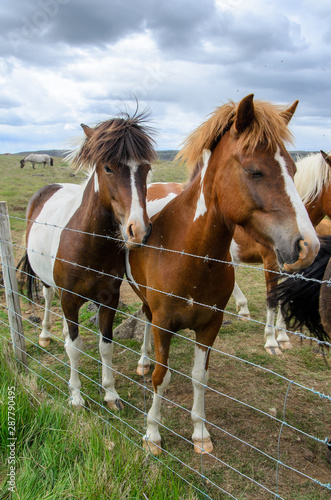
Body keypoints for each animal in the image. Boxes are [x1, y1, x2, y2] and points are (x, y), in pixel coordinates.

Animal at [17, 110, 158, 410]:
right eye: (108, 168)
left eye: (145, 168)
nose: (139, 230)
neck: (89, 245)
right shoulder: (70, 299)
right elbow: (75, 347)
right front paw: (76, 396)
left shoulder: (109, 299)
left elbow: (105, 346)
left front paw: (111, 394)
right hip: (47, 280)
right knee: (48, 297)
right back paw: (45, 334)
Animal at [231, 150, 331, 354]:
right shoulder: (271, 263)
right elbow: (271, 300)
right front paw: (271, 342)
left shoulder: (292, 268)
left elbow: (285, 300)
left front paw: (283, 338)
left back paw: (243, 308)